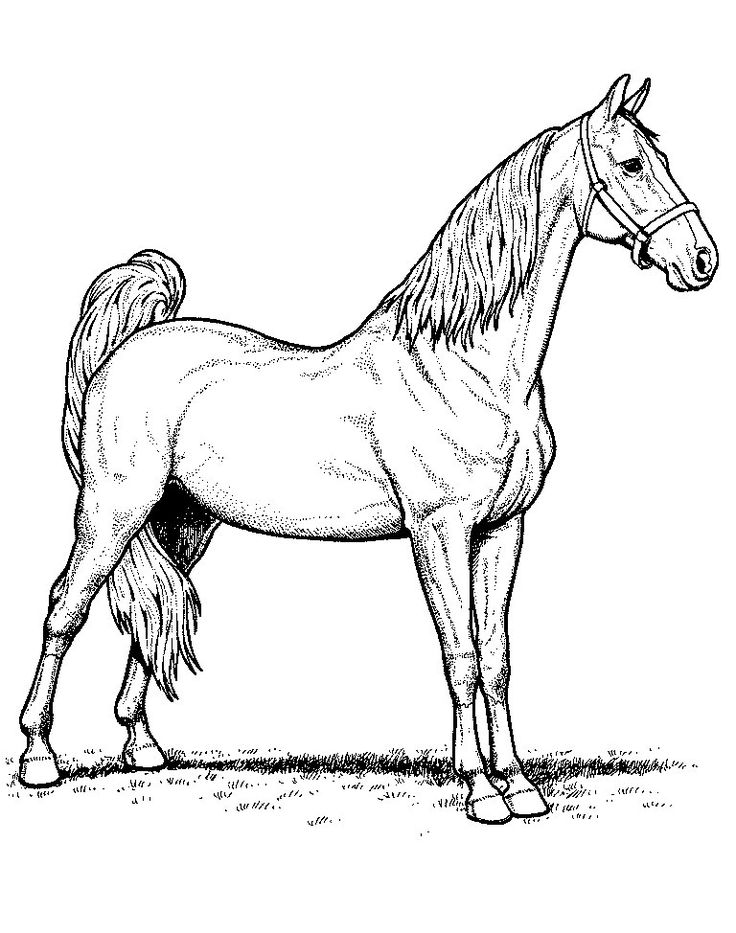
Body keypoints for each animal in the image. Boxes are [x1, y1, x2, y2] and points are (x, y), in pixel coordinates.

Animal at [19, 75, 717, 823]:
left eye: (660, 158)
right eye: (632, 165)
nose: (702, 259)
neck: (468, 367)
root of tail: (128, 347)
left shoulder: (504, 529)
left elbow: (497, 656)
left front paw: (519, 785)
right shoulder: (438, 530)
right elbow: (461, 655)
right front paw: (481, 790)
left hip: (182, 520)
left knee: (152, 607)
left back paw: (143, 748)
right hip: (112, 510)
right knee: (65, 607)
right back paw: (38, 758)